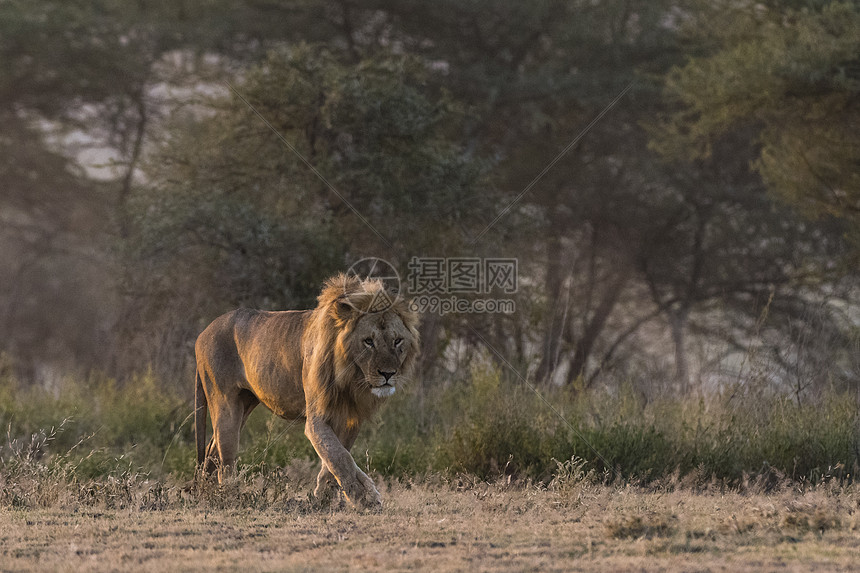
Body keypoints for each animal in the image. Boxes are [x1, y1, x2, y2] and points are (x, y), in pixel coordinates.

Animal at [196, 272, 424, 504]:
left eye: (397, 341)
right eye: (368, 341)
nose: (388, 374)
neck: (351, 378)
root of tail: (203, 332)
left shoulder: (351, 417)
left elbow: (335, 457)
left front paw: (326, 497)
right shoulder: (317, 418)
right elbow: (340, 456)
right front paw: (361, 497)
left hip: (246, 403)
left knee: (212, 449)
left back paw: (207, 493)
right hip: (226, 404)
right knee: (225, 457)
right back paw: (227, 496)